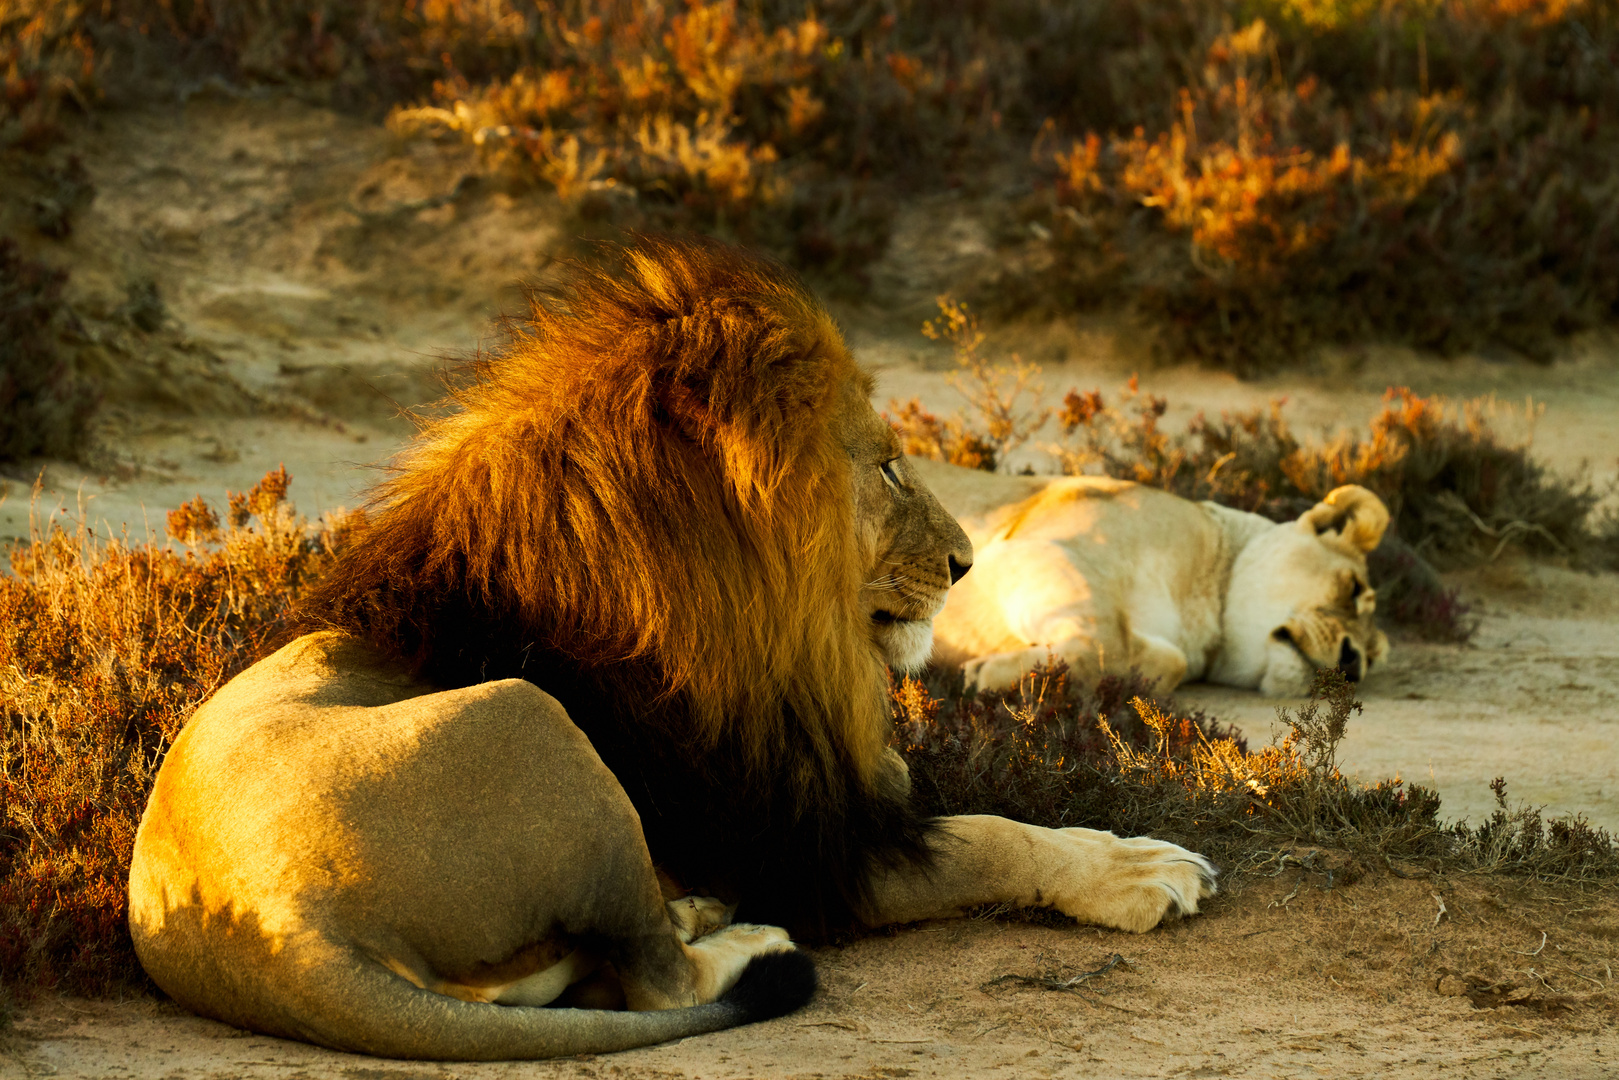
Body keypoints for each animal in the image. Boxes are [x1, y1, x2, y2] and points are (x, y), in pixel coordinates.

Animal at [129, 238, 1217, 1062]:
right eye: (886, 467)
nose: (964, 562)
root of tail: (287, 940)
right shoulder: (805, 847)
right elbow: (994, 834)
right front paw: (1135, 871)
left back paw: (692, 910)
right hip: (529, 720)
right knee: (657, 983)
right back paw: (738, 933)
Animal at [919, 453, 1398, 693]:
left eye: (1375, 660)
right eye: (1353, 588)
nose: (1353, 665)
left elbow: (1165, 661)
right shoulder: (1028, 546)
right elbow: (1109, 642)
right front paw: (983, 678)